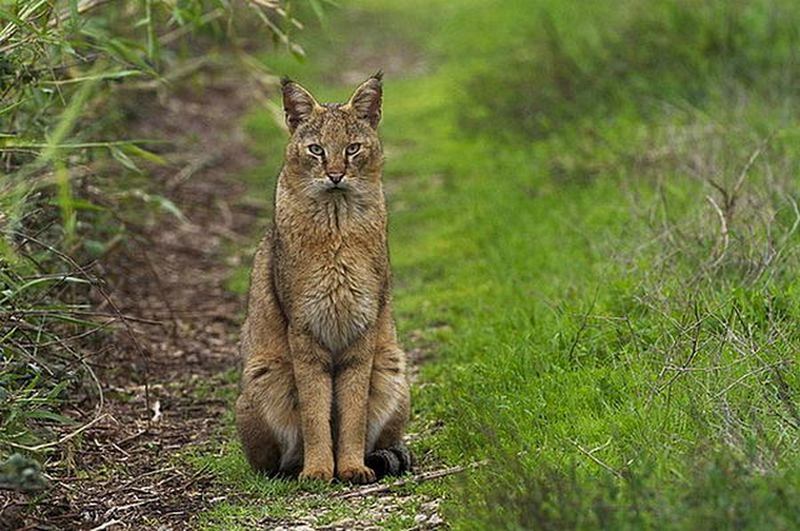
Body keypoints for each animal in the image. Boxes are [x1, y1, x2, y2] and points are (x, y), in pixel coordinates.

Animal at [236, 72, 412, 484]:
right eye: (316, 150)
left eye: (352, 149)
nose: (335, 175)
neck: (336, 224)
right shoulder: (304, 330)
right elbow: (315, 410)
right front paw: (318, 468)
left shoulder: (362, 330)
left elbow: (352, 412)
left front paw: (350, 466)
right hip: (264, 372)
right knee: (271, 461)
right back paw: (294, 467)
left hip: (392, 364)